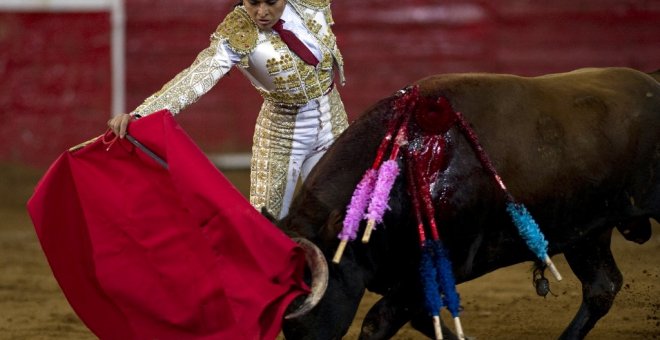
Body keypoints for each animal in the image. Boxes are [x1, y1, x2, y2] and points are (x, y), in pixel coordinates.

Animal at [276, 67, 656, 338]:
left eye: (306, 301)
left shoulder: (440, 267)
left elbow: (378, 320)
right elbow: (423, 320)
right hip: (586, 231)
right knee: (602, 287)